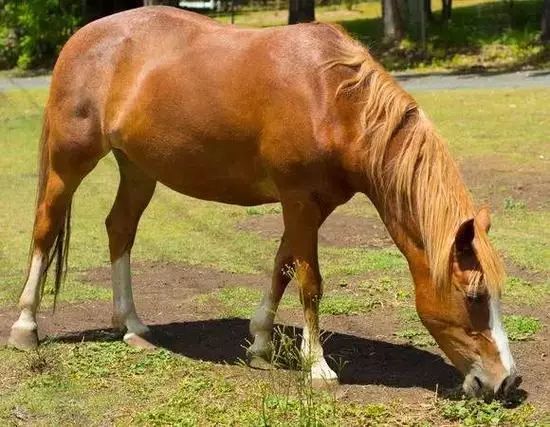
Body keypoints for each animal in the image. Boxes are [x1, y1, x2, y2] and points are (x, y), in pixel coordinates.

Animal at [7, 5, 520, 402]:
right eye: (474, 296)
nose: (508, 382)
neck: (332, 100)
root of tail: (83, 38)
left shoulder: (313, 205)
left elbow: (282, 267)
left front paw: (259, 344)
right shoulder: (299, 201)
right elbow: (310, 282)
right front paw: (318, 368)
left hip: (138, 168)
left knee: (120, 228)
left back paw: (131, 325)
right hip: (69, 162)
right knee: (46, 228)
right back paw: (25, 329)